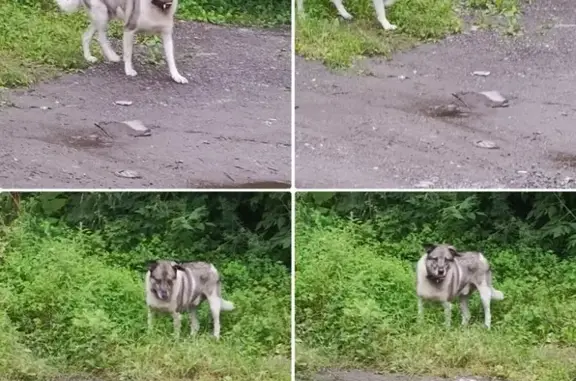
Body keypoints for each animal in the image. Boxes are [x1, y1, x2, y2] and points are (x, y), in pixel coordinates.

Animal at [54, 0, 189, 83]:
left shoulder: (167, 36)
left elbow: (171, 59)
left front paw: (176, 76)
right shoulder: (129, 30)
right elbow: (128, 54)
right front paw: (129, 70)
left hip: (104, 16)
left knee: (86, 36)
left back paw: (89, 57)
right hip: (102, 15)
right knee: (101, 37)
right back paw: (112, 56)